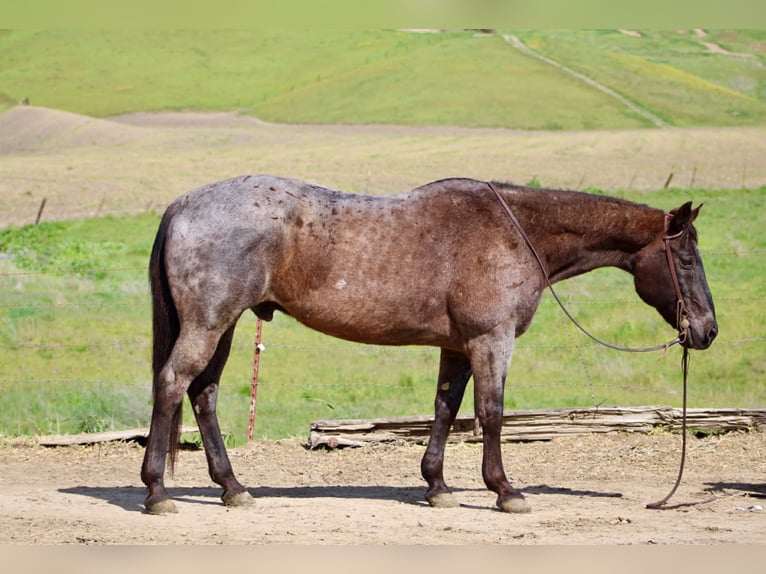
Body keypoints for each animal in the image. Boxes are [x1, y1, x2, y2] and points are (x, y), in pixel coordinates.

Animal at [140, 175, 718, 515]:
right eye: (687, 259)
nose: (708, 330)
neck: (514, 230)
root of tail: (183, 204)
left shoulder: (458, 346)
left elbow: (444, 409)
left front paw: (437, 486)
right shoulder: (490, 340)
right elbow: (491, 413)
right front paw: (505, 490)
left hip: (225, 325)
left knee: (204, 394)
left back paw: (232, 488)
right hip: (210, 323)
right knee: (172, 385)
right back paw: (157, 491)